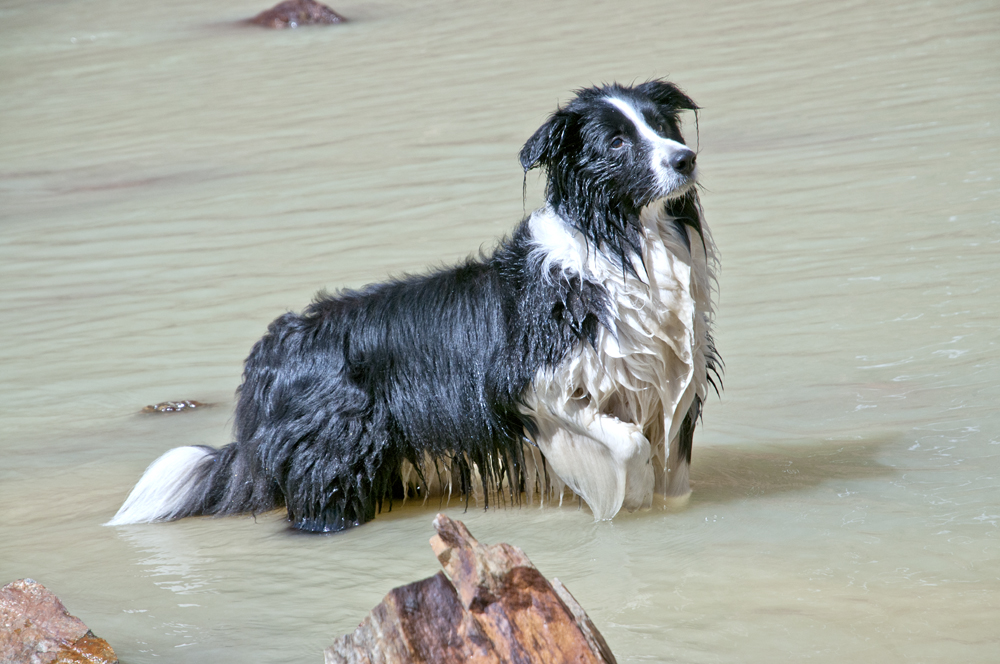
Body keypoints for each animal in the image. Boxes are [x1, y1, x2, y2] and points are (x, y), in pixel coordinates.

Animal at [109, 79, 720, 536]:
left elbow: (672, 471)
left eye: (663, 126)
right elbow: (628, 445)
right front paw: (625, 502)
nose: (686, 160)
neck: (627, 241)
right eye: (616, 142)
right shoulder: (533, 384)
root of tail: (269, 349)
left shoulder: (672, 385)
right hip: (338, 452)